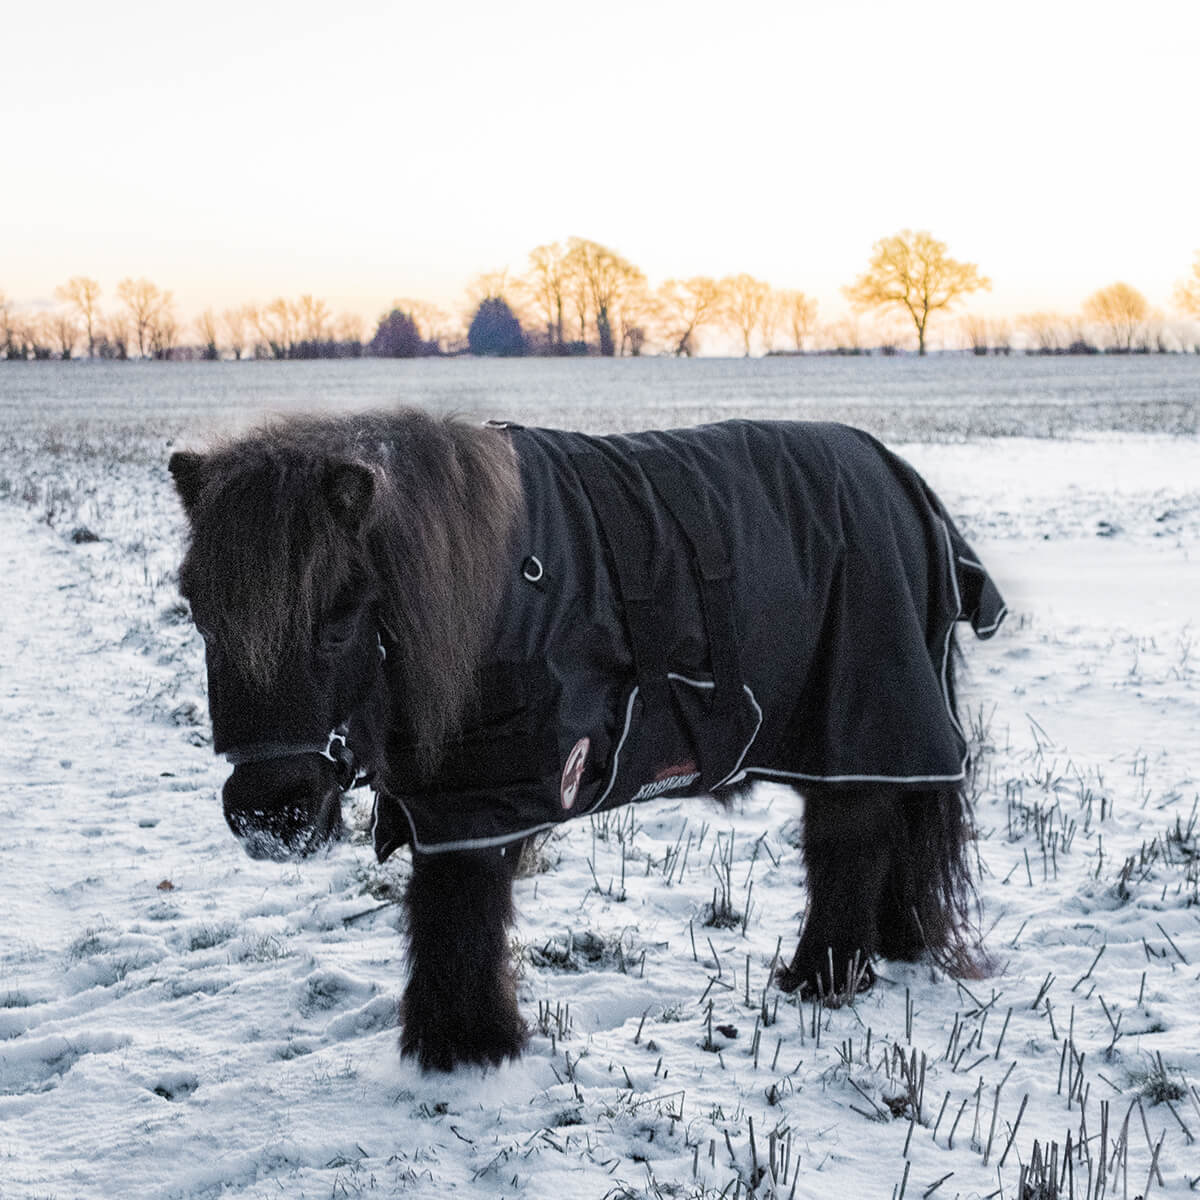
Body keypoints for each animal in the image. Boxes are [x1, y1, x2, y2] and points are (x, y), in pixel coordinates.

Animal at [169, 410, 1003, 1070]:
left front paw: (466, 1050)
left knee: (850, 845)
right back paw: (891, 947)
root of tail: (901, 480)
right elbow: (444, 912)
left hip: (863, 724)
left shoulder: (484, 797)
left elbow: (458, 912)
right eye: (198, 613)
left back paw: (822, 977)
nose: (267, 815)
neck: (490, 592)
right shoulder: (446, 798)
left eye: (339, 617)